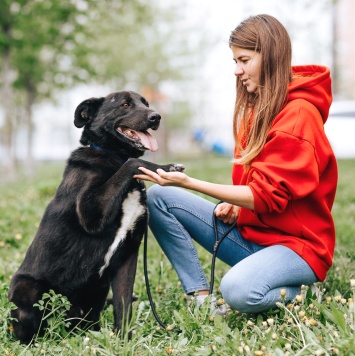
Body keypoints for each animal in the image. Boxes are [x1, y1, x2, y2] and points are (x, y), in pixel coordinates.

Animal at [8, 90, 186, 344]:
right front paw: (167, 167)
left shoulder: (128, 254)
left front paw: (124, 342)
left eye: (146, 103)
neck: (113, 157)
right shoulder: (91, 214)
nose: (156, 117)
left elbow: (123, 306)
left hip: (96, 296)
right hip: (27, 289)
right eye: (125, 104)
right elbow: (134, 162)